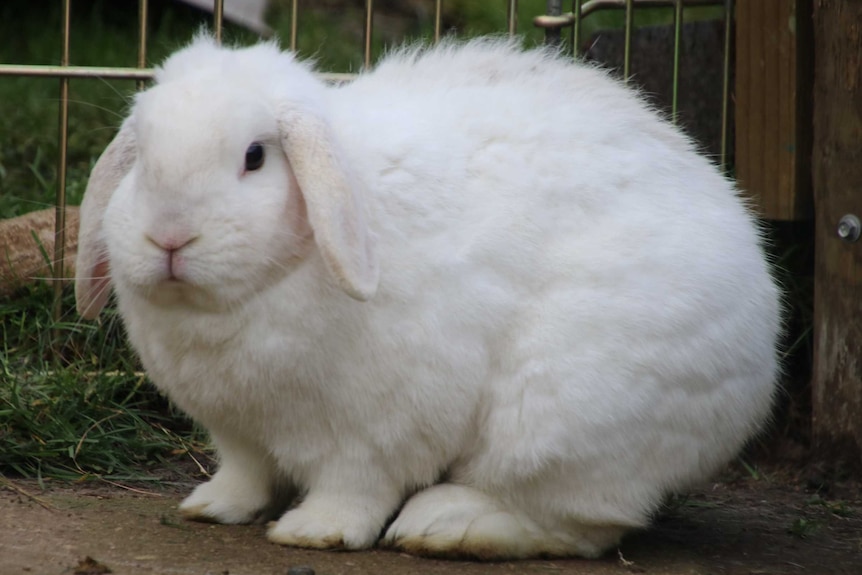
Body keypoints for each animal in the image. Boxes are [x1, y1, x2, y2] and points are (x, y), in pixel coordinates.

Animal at [77, 35, 788, 560]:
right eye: (142, 161)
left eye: (254, 157)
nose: (169, 237)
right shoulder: (238, 432)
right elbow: (245, 472)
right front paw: (211, 508)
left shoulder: (374, 427)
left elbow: (354, 485)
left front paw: (314, 532)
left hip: (561, 419)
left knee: (577, 522)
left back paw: (445, 526)